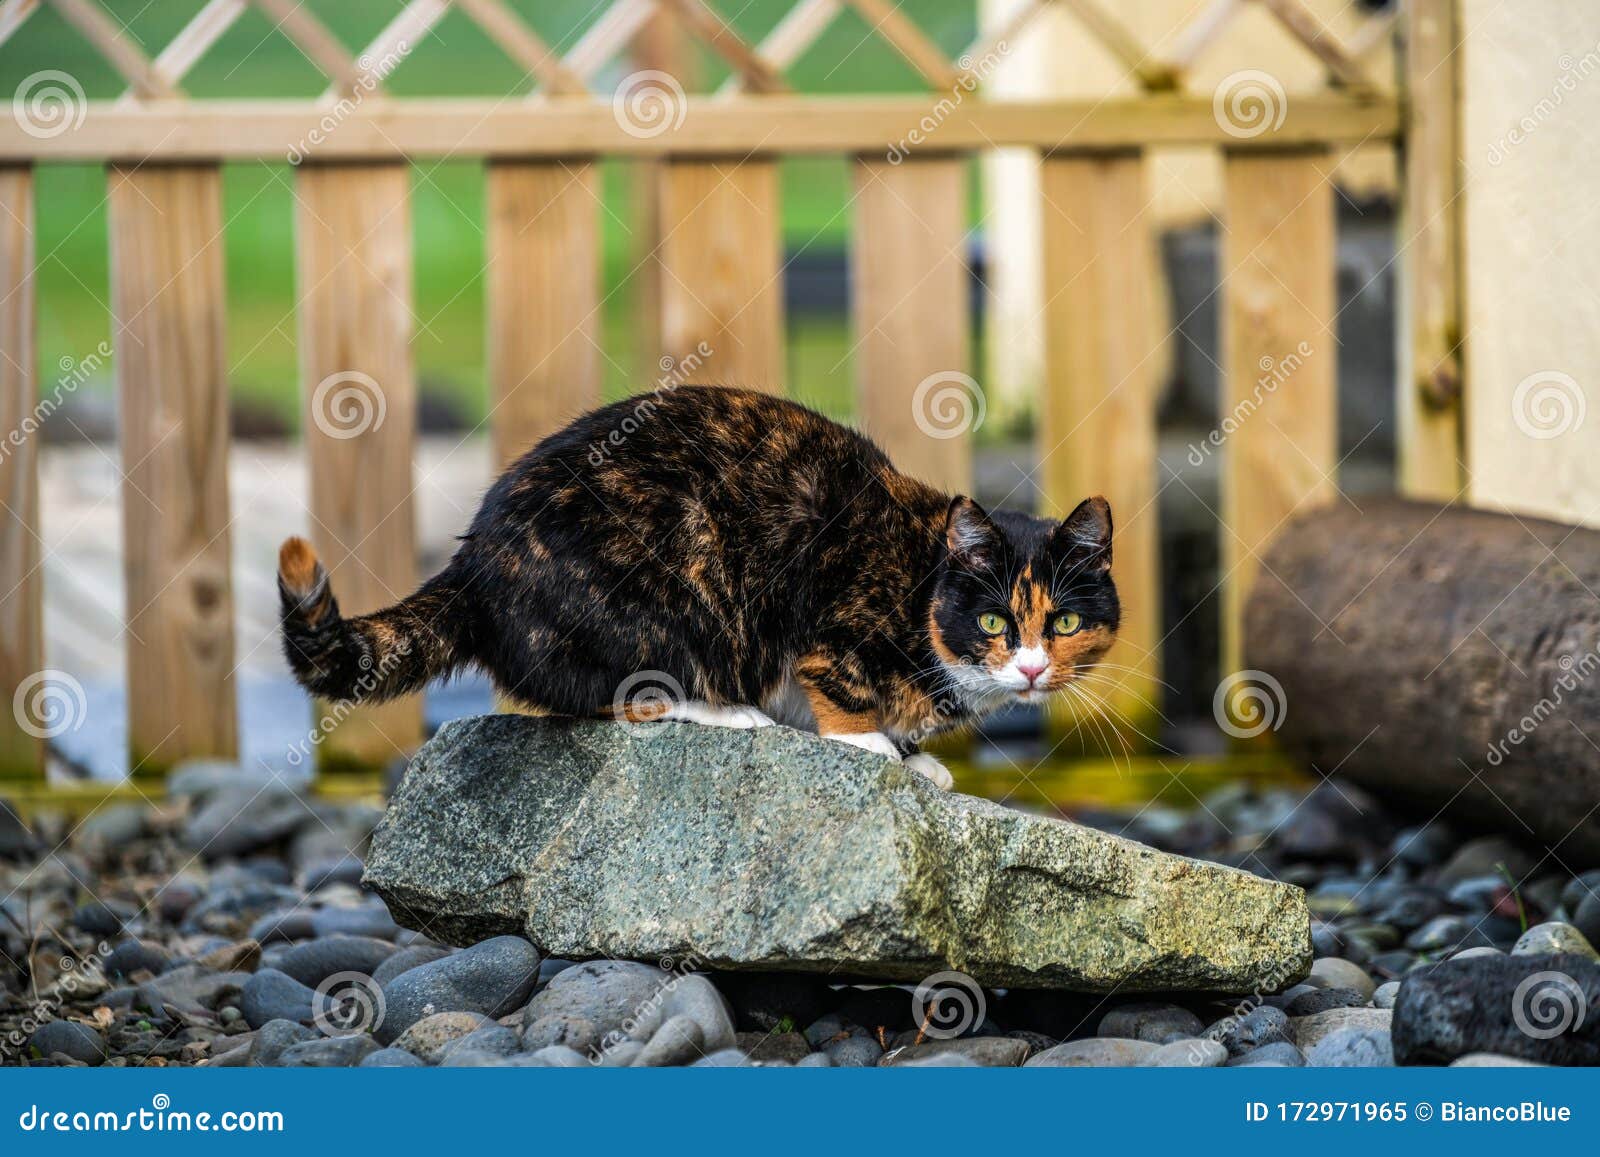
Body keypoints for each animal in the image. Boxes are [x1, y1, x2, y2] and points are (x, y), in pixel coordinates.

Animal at [275, 384, 1120, 790]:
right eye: (993, 621)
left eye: (1066, 622)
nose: (1033, 666)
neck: (920, 577)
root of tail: (474, 560)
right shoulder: (828, 613)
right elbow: (835, 681)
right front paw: (877, 744)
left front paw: (917, 758)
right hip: (669, 583)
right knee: (613, 695)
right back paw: (729, 711)